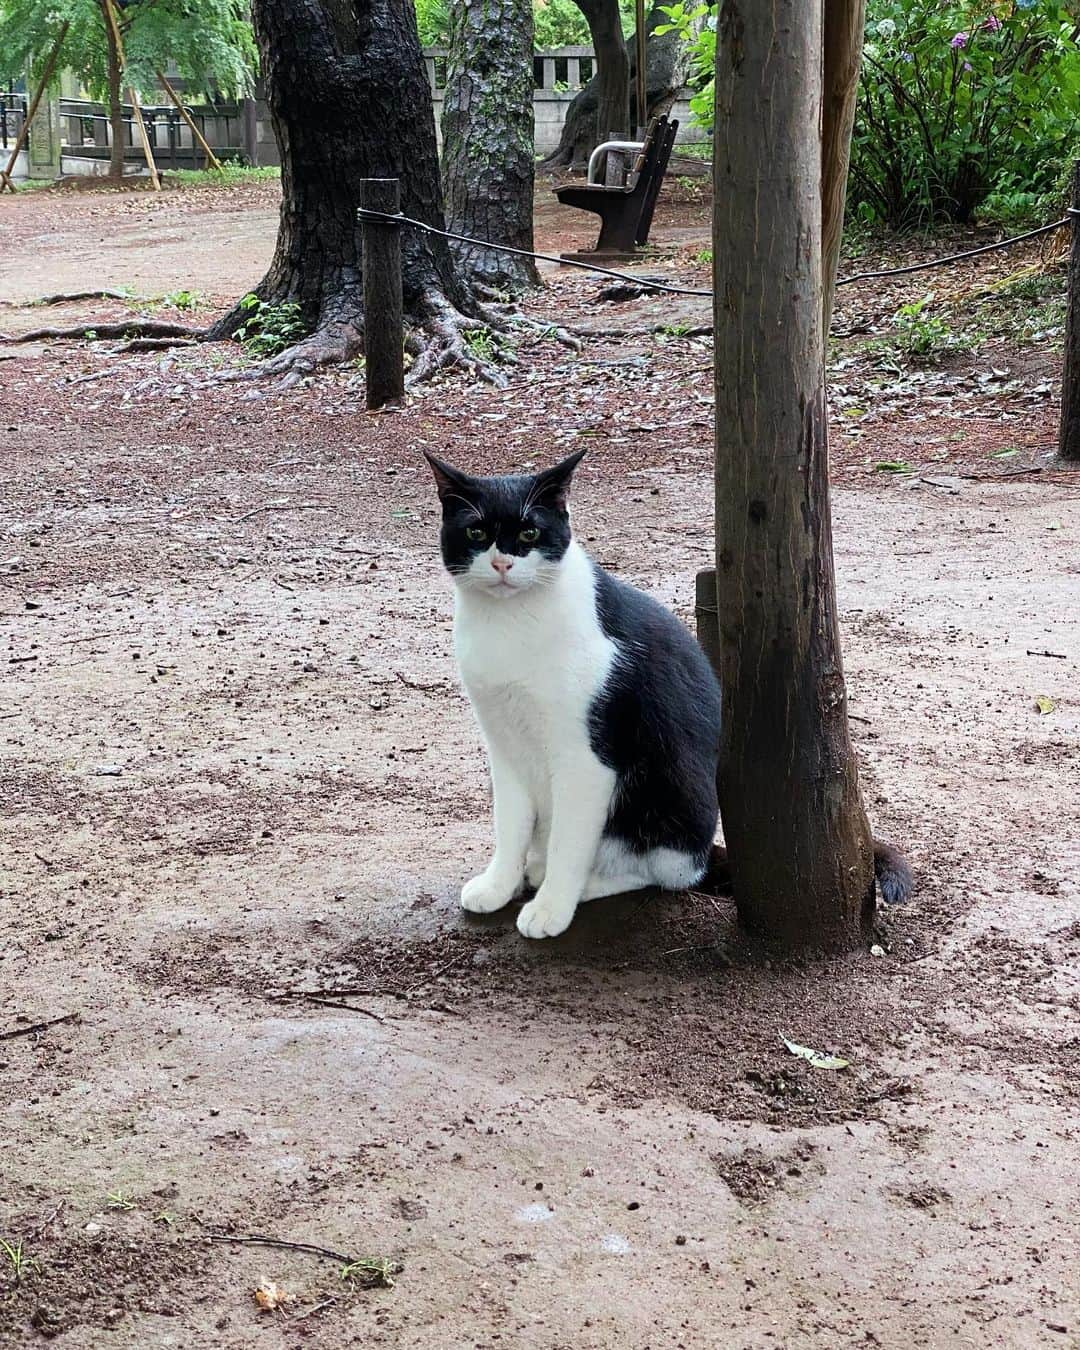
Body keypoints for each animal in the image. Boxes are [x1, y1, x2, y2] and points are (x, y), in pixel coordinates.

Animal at [426, 448, 723, 934]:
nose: (502, 563)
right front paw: (498, 884)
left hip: (670, 796)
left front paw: (551, 908)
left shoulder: (586, 761)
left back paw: (583, 885)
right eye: (476, 532)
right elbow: (508, 821)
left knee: (662, 871)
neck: (511, 623)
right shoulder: (503, 744)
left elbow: (569, 842)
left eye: (530, 532)